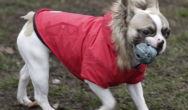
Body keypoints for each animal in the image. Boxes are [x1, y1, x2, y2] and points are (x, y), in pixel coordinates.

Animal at [16, 0, 170, 109]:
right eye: (146, 32)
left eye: (167, 32)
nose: (161, 42)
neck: (121, 47)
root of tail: (32, 17)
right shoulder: (94, 80)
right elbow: (110, 102)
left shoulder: (134, 83)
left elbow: (141, 103)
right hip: (40, 69)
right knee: (40, 96)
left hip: (35, 61)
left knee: (24, 74)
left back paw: (23, 99)